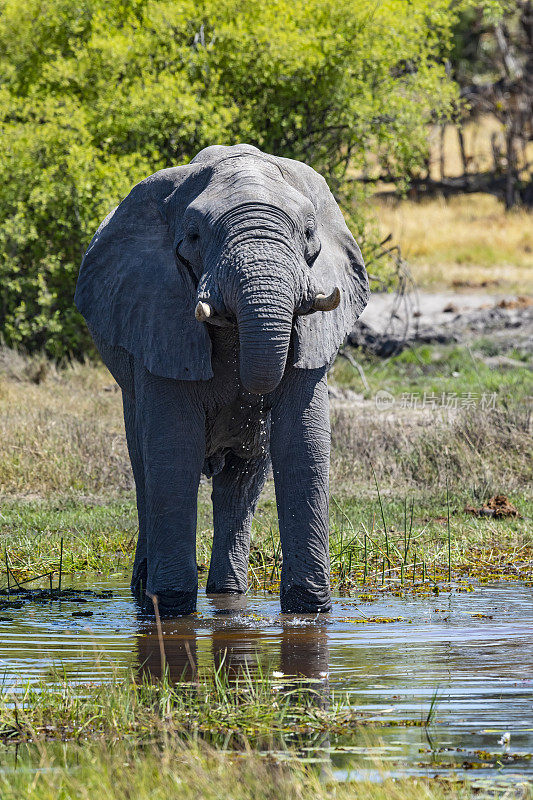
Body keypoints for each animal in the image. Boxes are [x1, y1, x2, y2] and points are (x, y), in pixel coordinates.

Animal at [75, 145, 368, 620]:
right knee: (145, 469)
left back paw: (228, 595)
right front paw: (172, 609)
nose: (255, 401)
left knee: (241, 480)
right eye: (193, 236)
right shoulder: (159, 315)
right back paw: (145, 595)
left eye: (309, 232)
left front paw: (309, 612)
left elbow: (302, 441)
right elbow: (173, 448)